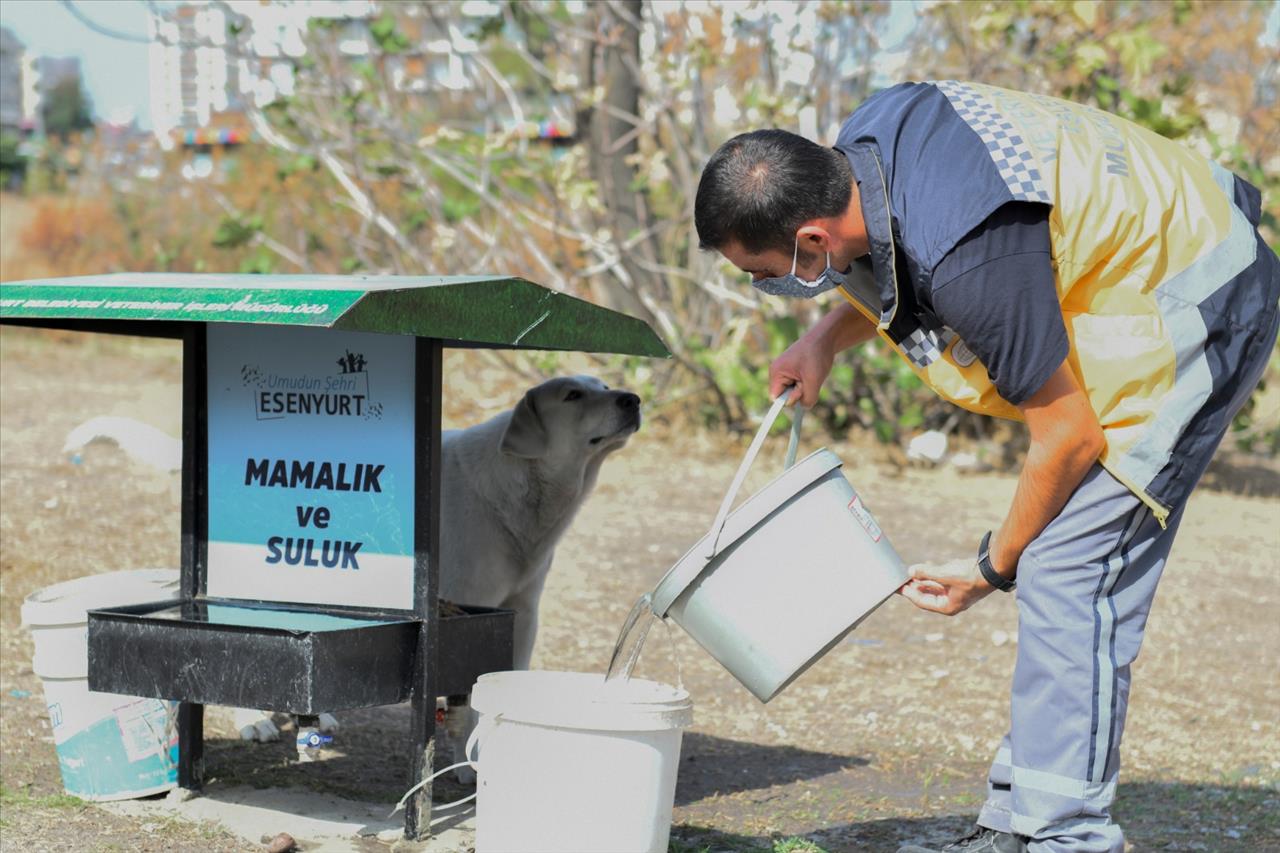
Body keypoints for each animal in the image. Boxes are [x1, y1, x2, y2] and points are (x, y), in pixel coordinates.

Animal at [234, 376, 640, 773]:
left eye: (604, 387)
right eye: (573, 395)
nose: (633, 400)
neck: (523, 483)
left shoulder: (524, 613)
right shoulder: (471, 610)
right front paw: (468, 764)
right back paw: (253, 721)